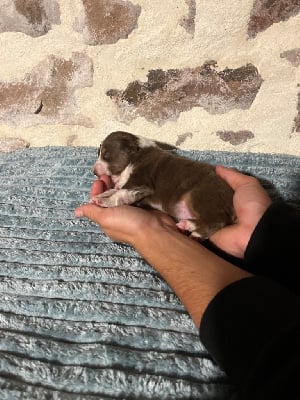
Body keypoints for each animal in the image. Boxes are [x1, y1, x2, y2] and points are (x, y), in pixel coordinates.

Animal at [92, 130, 236, 239]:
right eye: (98, 153)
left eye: (106, 155)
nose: (93, 172)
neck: (135, 156)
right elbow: (116, 190)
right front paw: (101, 195)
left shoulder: (141, 182)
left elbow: (120, 193)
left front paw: (104, 201)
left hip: (201, 195)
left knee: (218, 220)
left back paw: (193, 230)